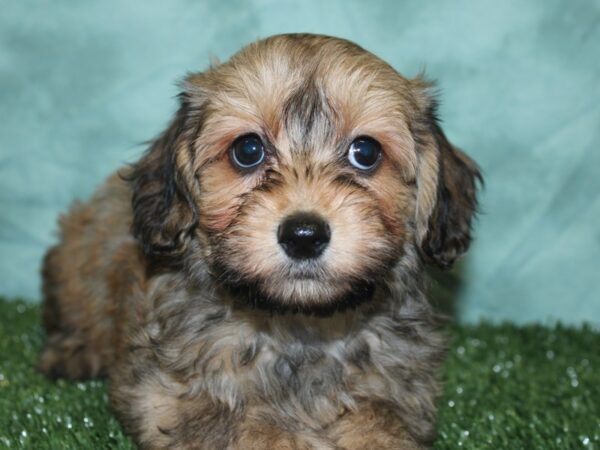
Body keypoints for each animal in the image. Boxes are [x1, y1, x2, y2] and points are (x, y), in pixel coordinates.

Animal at [37, 33, 480, 448]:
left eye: (365, 152)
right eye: (248, 149)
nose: (304, 235)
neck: (299, 325)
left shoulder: (404, 391)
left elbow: (380, 419)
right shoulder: (164, 394)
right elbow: (241, 425)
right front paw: (289, 436)